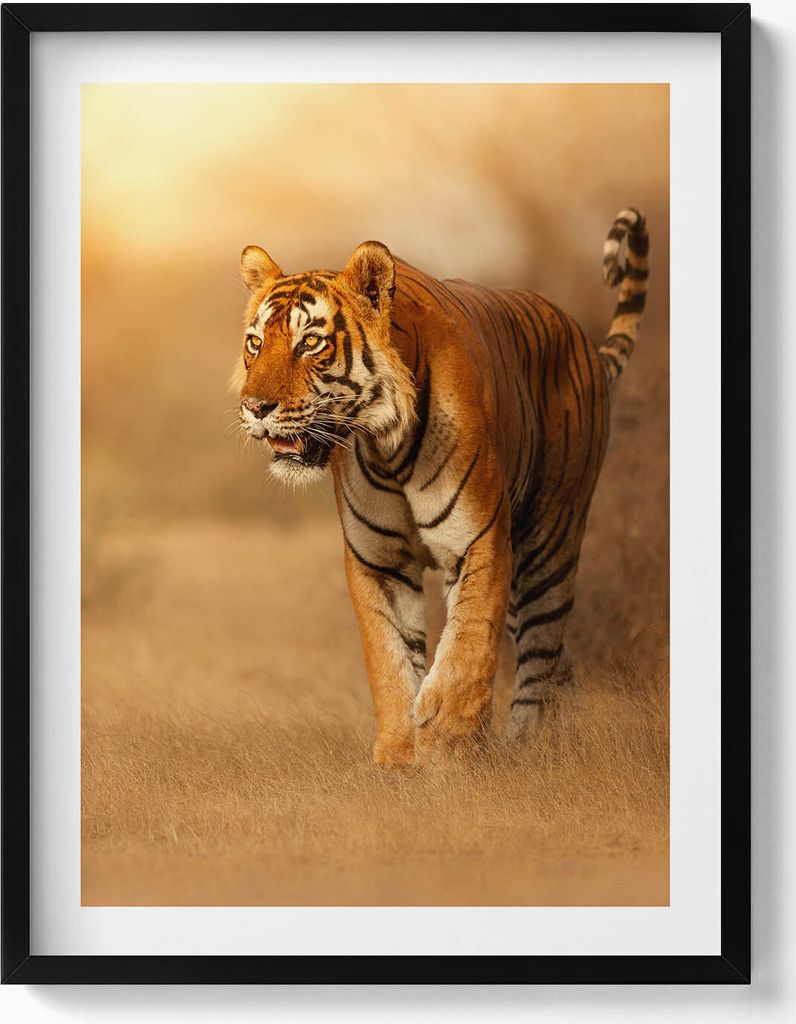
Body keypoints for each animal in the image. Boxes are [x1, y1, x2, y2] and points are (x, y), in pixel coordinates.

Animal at [233, 208, 649, 766]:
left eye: (310, 343)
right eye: (256, 343)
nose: (255, 407)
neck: (386, 446)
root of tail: (583, 340)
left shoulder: (479, 540)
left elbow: (467, 644)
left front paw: (447, 741)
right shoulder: (378, 560)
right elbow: (388, 659)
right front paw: (398, 756)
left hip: (548, 543)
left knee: (541, 654)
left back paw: (527, 747)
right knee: (561, 662)